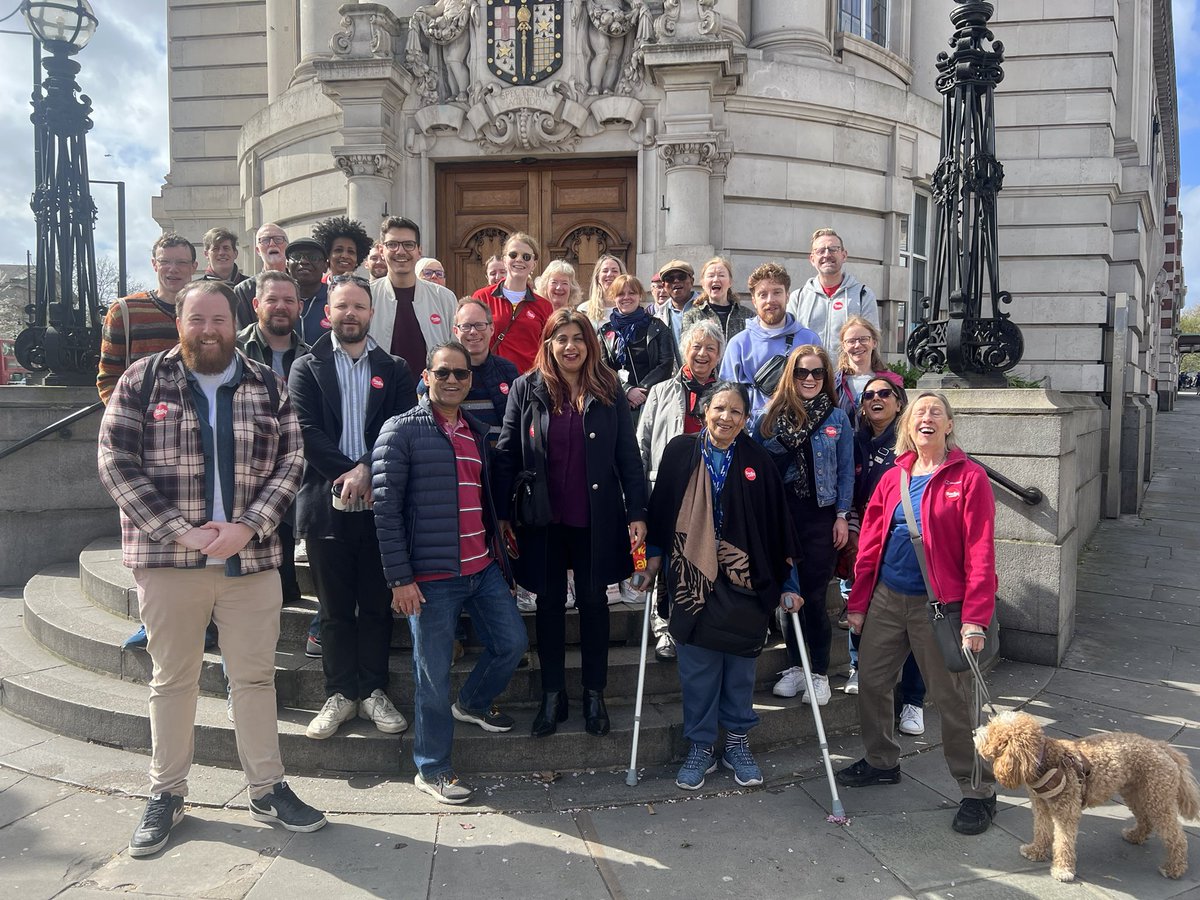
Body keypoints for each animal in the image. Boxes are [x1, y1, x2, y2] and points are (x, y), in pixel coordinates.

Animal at [974, 710, 1200, 883]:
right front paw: (1036, 851)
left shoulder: (1066, 813)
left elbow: (1063, 842)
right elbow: (1042, 831)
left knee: (1176, 836)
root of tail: (1161, 746)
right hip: (1136, 793)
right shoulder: (1041, 808)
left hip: (1158, 799)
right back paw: (1135, 836)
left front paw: (1063, 870)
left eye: (993, 732)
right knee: (1145, 820)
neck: (1044, 761)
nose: (975, 732)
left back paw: (1174, 868)